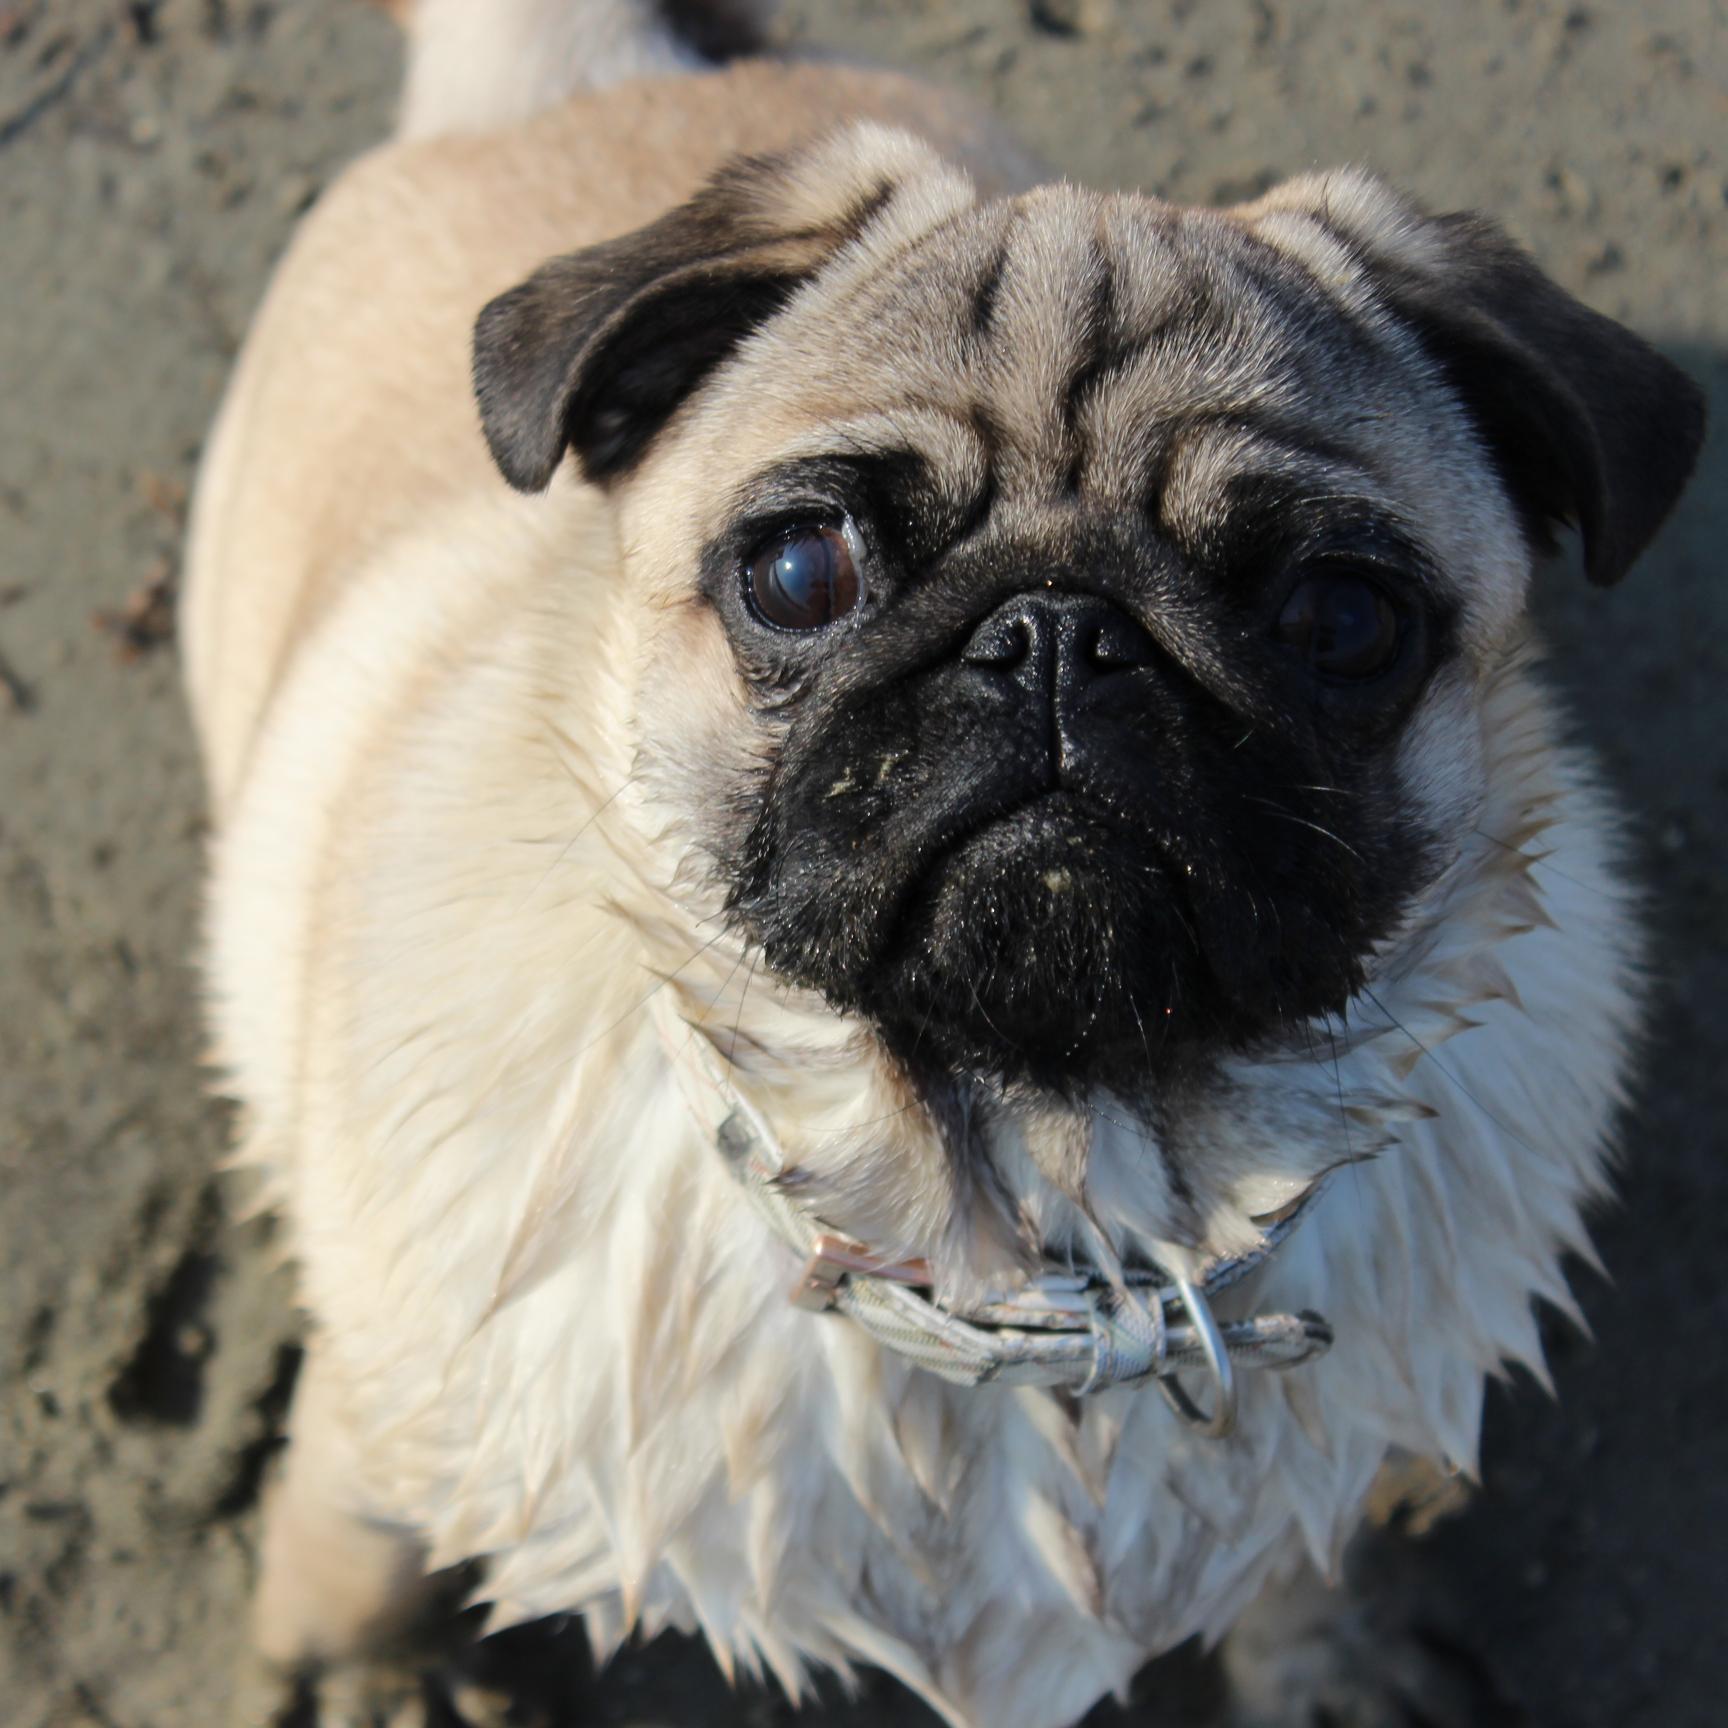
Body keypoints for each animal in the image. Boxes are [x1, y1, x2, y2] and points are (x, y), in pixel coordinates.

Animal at [189, 0, 1700, 1721]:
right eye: (798, 572)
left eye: (1343, 617)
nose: (1058, 633)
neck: (1043, 1242)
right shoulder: (404, 1406)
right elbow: (360, 1551)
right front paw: (374, 1678)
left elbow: (1303, 1545)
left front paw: (1332, 1653)